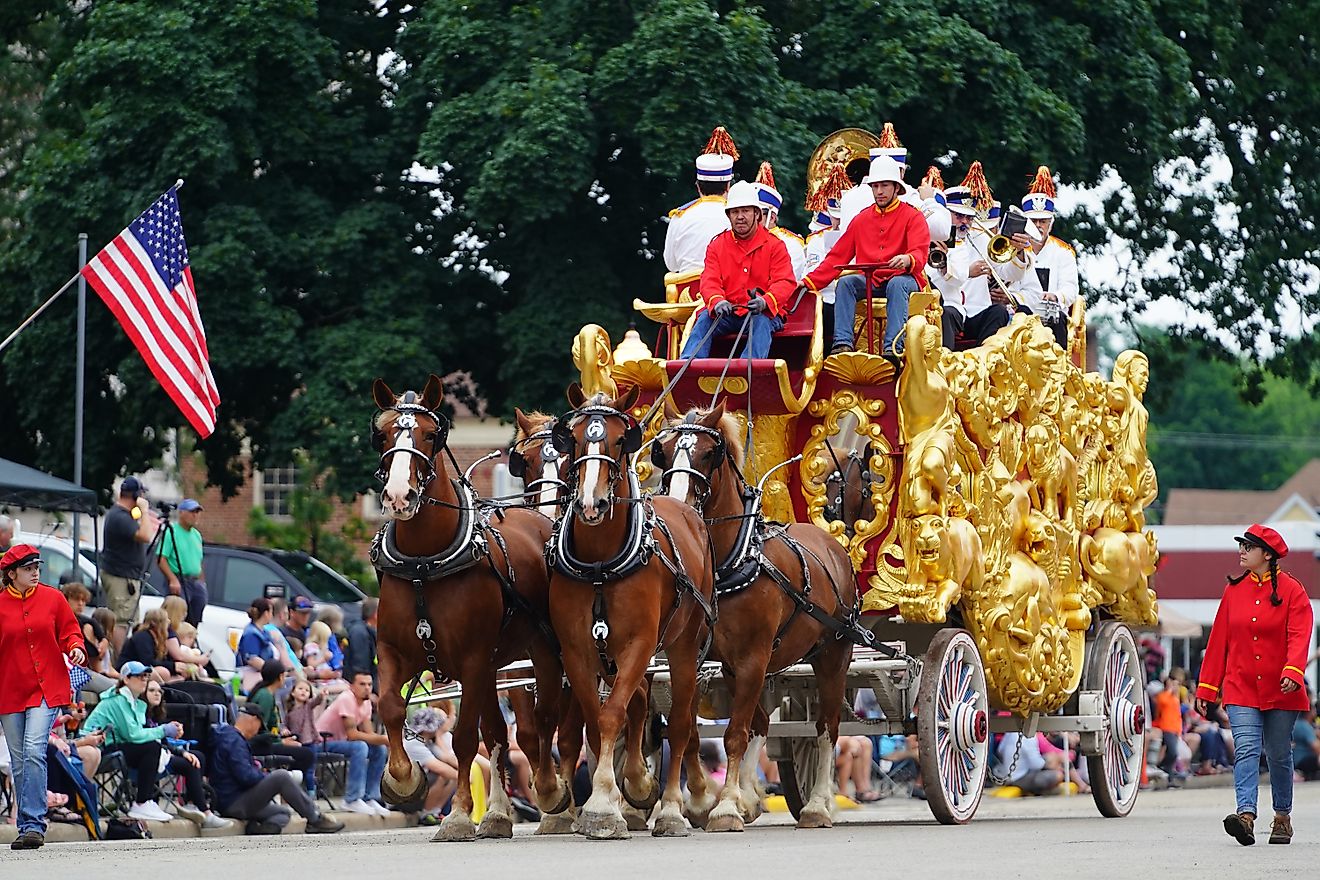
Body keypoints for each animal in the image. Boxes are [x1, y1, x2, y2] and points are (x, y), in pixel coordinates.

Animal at [374, 377, 575, 839]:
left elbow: (465, 737)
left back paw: (555, 794)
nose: (398, 495)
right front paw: (403, 779)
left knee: (551, 720)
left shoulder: (472, 659)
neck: (425, 564)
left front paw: (461, 814)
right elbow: (390, 707)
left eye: (430, 435)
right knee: (509, 731)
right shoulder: (394, 651)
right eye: (383, 433)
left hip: (542, 652)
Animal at [546, 385, 718, 839]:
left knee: (681, 725)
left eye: (622, 439)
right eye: (572, 439)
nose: (591, 503)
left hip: (683, 646)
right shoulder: (578, 649)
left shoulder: (640, 644)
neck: (600, 563)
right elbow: (596, 719)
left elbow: (612, 717)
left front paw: (603, 806)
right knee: (641, 705)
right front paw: (616, 794)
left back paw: (674, 809)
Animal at [654, 406, 860, 833]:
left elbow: (733, 734)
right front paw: (706, 802)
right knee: (763, 723)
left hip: (833, 654)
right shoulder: (708, 659)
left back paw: (818, 805)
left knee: (826, 727)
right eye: (661, 452)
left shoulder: (752, 657)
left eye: (708, 454)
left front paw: (725, 809)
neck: (728, 562)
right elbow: (694, 730)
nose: (676, 505)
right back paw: (750, 796)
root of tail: (833, 544)